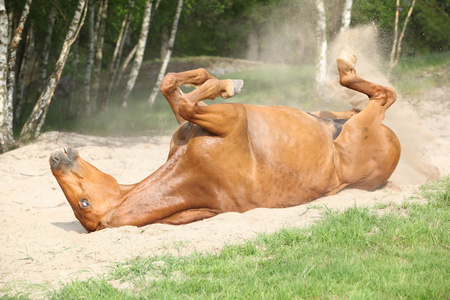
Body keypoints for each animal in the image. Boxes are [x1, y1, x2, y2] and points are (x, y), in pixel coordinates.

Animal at [50, 48, 400, 233]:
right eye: (84, 204)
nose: (54, 159)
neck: (189, 171)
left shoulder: (192, 125)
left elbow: (172, 89)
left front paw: (212, 79)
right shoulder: (231, 118)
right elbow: (186, 103)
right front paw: (226, 84)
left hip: (343, 116)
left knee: (353, 105)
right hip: (364, 123)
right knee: (383, 94)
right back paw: (345, 61)